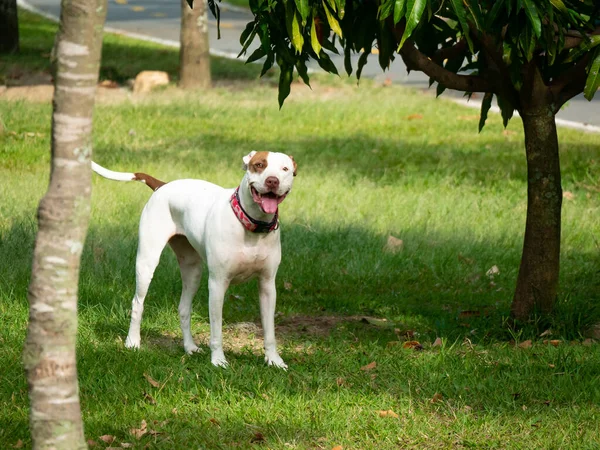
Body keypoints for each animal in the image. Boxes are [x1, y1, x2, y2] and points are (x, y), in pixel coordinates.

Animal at [92, 152, 296, 370]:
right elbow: (216, 330)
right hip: (146, 262)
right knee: (138, 303)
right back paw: (132, 342)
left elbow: (270, 331)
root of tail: (163, 185)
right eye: (259, 165)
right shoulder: (217, 284)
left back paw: (189, 347)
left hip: (193, 271)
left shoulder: (267, 285)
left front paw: (274, 360)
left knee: (183, 308)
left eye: (285, 169)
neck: (251, 225)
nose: (272, 180)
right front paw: (218, 360)